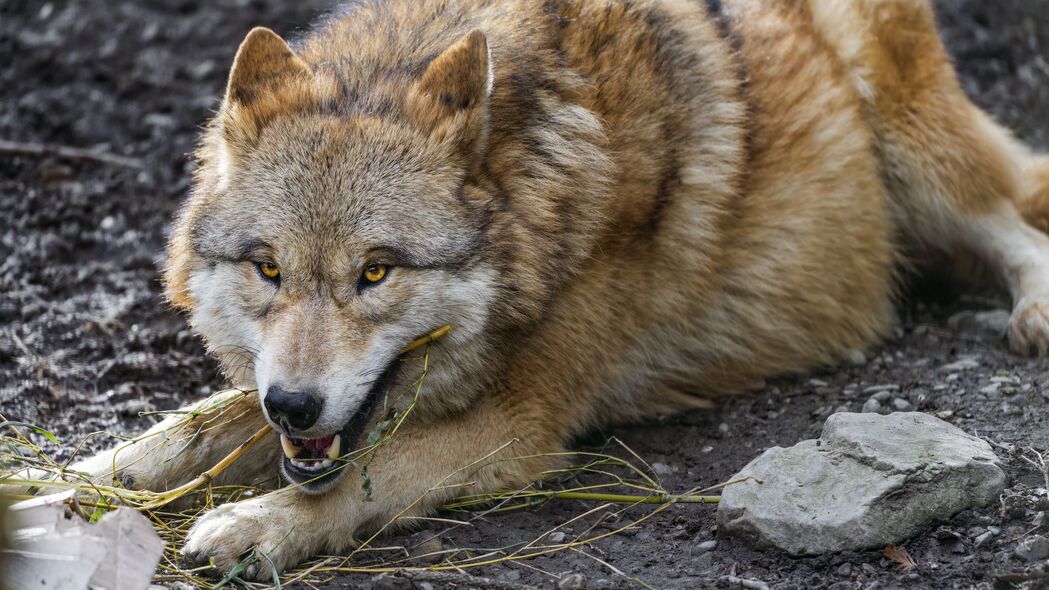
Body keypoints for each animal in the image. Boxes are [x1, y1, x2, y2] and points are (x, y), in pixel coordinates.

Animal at [12, 0, 1049, 579]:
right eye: (268, 268)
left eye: (376, 270)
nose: (295, 405)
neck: (539, 182)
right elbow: (179, 433)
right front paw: (52, 481)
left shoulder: (518, 425)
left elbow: (363, 477)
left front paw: (257, 525)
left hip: (916, 146)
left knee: (1013, 219)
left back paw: (1034, 310)